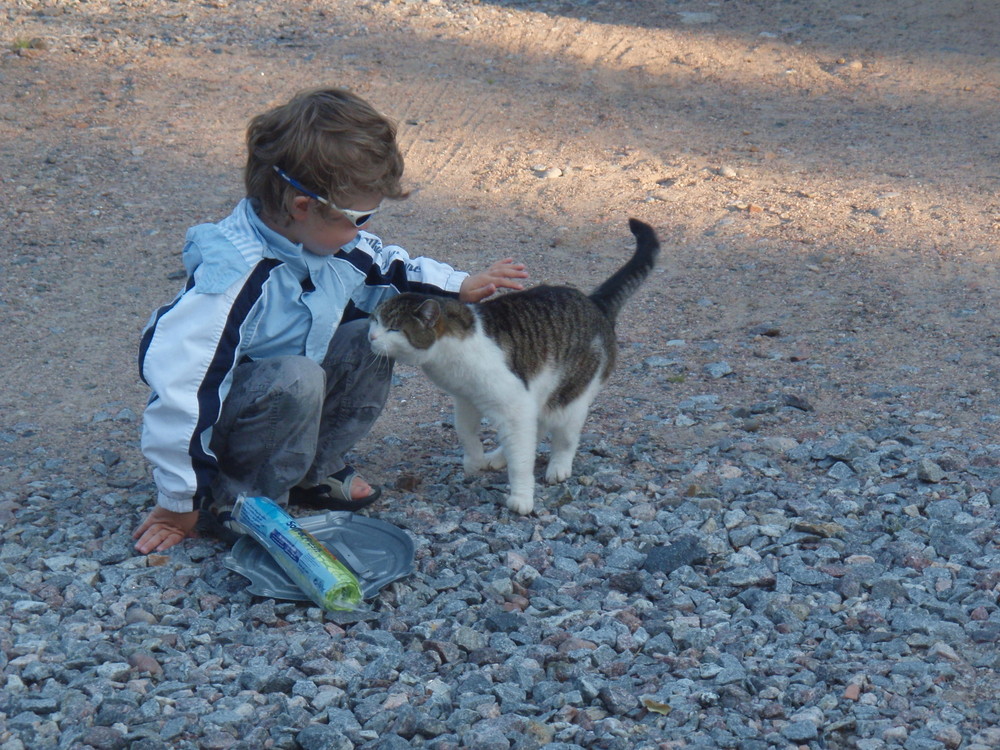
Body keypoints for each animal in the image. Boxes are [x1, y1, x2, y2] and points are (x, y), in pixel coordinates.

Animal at [372, 219, 660, 516]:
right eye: (375, 320)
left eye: (393, 329)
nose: (371, 337)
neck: (450, 358)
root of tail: (595, 303)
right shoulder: (467, 399)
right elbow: (466, 431)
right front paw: (474, 461)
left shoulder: (513, 405)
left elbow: (521, 461)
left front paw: (521, 497)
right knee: (534, 429)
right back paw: (499, 457)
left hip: (569, 396)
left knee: (563, 437)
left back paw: (558, 467)